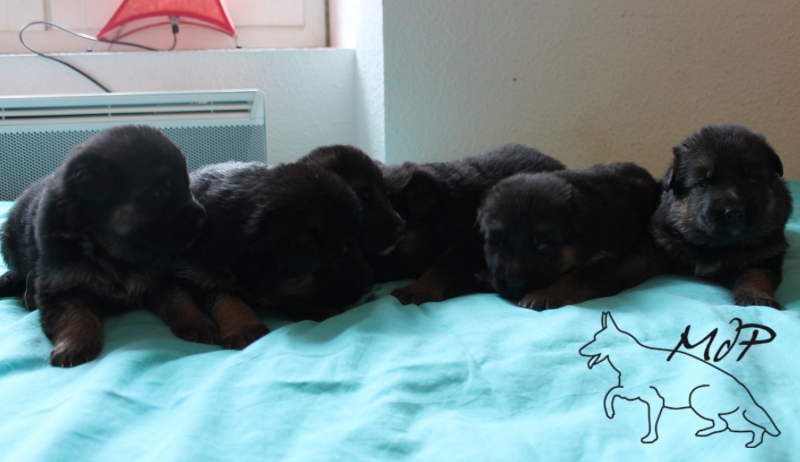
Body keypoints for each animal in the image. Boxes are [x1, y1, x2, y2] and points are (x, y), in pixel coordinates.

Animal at [0, 125, 207, 367]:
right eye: (159, 192)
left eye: (186, 185)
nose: (203, 218)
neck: (112, 251)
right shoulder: (61, 284)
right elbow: (73, 313)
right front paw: (74, 344)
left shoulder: (162, 276)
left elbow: (180, 299)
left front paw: (199, 323)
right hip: (9, 239)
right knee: (21, 274)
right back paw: (27, 293)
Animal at [478, 162, 660, 310]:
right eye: (497, 242)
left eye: (543, 245)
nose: (513, 285)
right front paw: (485, 276)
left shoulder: (603, 260)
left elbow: (575, 277)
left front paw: (544, 294)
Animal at [579, 312, 780, 448]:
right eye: (593, 338)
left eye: (598, 340)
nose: (580, 351)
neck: (630, 355)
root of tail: (744, 389)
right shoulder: (631, 391)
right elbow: (611, 393)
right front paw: (610, 412)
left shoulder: (655, 401)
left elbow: (647, 420)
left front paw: (650, 438)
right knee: (751, 427)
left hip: (697, 397)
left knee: (727, 425)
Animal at [649, 123, 792, 309]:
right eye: (703, 183)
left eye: (753, 177)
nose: (735, 213)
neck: (716, 245)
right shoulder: (664, 244)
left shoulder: (765, 255)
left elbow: (754, 275)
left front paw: (757, 299)